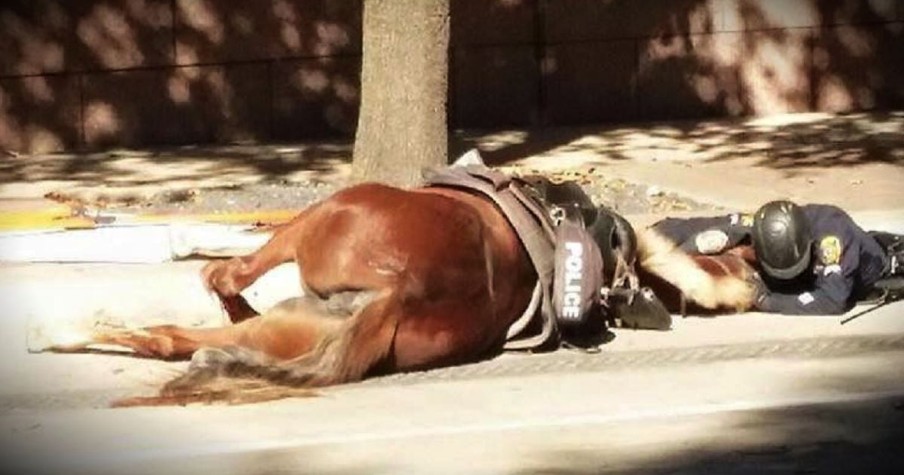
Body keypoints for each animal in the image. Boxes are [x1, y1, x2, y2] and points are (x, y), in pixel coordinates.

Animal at [31, 166, 760, 406]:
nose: (754, 284)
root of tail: (397, 293)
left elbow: (221, 265)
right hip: (289, 320)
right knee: (176, 338)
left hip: (314, 221)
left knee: (217, 286)